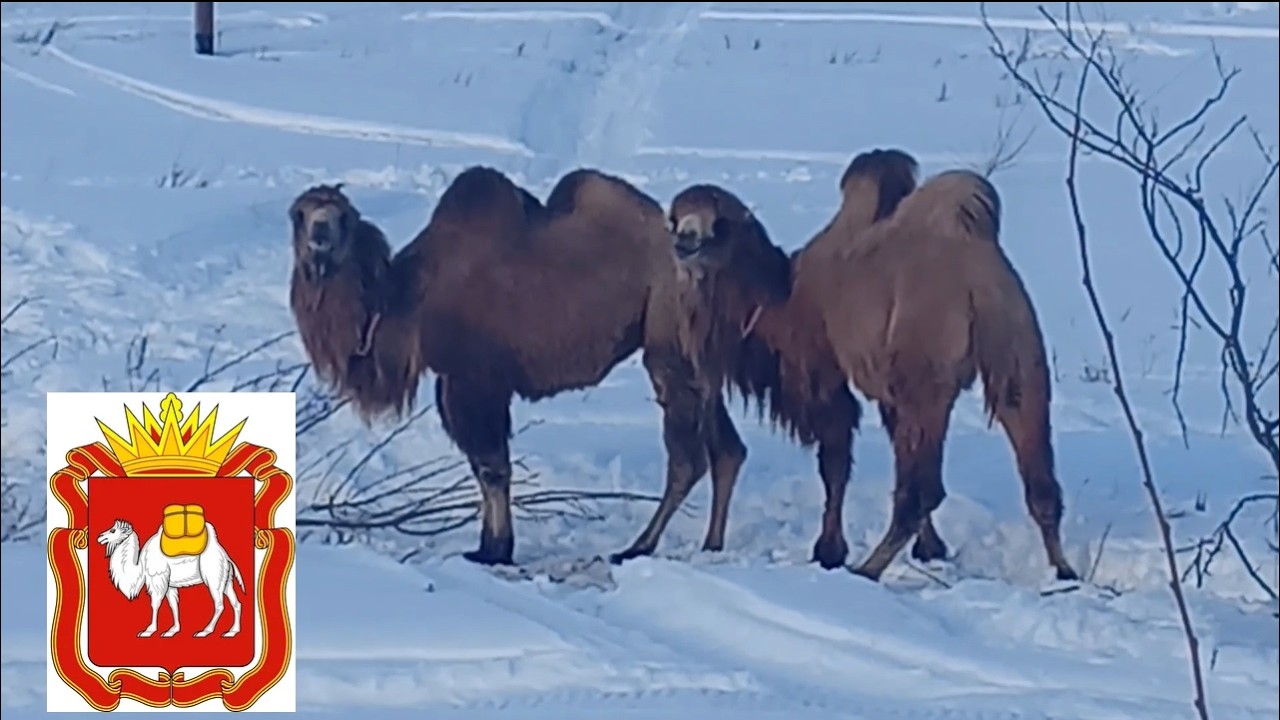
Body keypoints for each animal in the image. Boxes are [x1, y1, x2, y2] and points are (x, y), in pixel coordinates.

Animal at [95, 518, 246, 638]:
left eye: (113, 530)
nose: (100, 537)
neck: (141, 565)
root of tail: (227, 558)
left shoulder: (157, 579)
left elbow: (155, 604)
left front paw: (148, 631)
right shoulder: (169, 584)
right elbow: (173, 605)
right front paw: (172, 631)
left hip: (213, 577)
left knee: (219, 604)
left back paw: (204, 631)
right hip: (226, 580)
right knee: (236, 603)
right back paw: (231, 632)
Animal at [286, 168, 753, 567]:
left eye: (343, 217)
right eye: (300, 214)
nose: (321, 235)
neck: (409, 299)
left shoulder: (473, 380)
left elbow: (493, 468)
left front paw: (496, 550)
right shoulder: (458, 383)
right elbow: (483, 467)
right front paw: (486, 545)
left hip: (668, 343)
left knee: (688, 457)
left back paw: (637, 547)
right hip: (697, 354)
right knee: (727, 449)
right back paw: (711, 544)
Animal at [663, 148, 1080, 582]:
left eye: (719, 223)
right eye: (674, 218)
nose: (685, 243)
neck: (780, 301)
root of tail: (978, 282)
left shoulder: (824, 372)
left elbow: (835, 460)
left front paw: (829, 551)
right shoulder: (887, 390)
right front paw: (930, 549)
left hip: (927, 374)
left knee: (923, 489)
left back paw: (868, 569)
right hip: (1019, 354)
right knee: (1038, 477)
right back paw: (1064, 570)